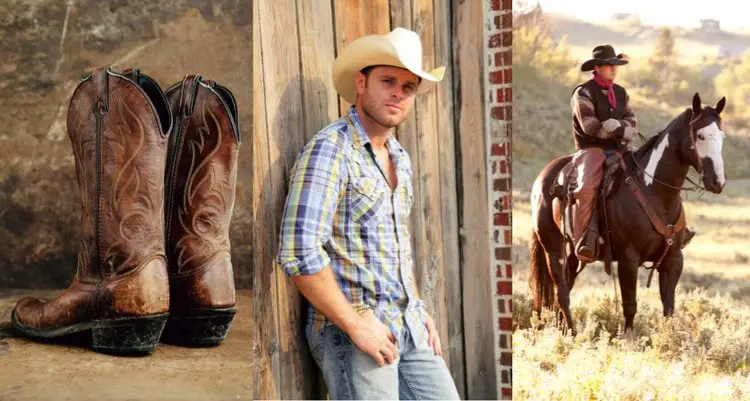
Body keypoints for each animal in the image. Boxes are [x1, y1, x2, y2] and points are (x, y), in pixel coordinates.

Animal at [528, 92, 728, 336]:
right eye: (700, 135)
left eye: (721, 136)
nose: (718, 182)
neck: (654, 192)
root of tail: (544, 177)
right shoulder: (628, 258)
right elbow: (630, 305)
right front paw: (629, 339)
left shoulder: (673, 259)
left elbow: (669, 307)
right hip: (552, 246)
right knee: (561, 291)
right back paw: (573, 334)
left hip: (574, 251)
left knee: (567, 284)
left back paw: (562, 330)